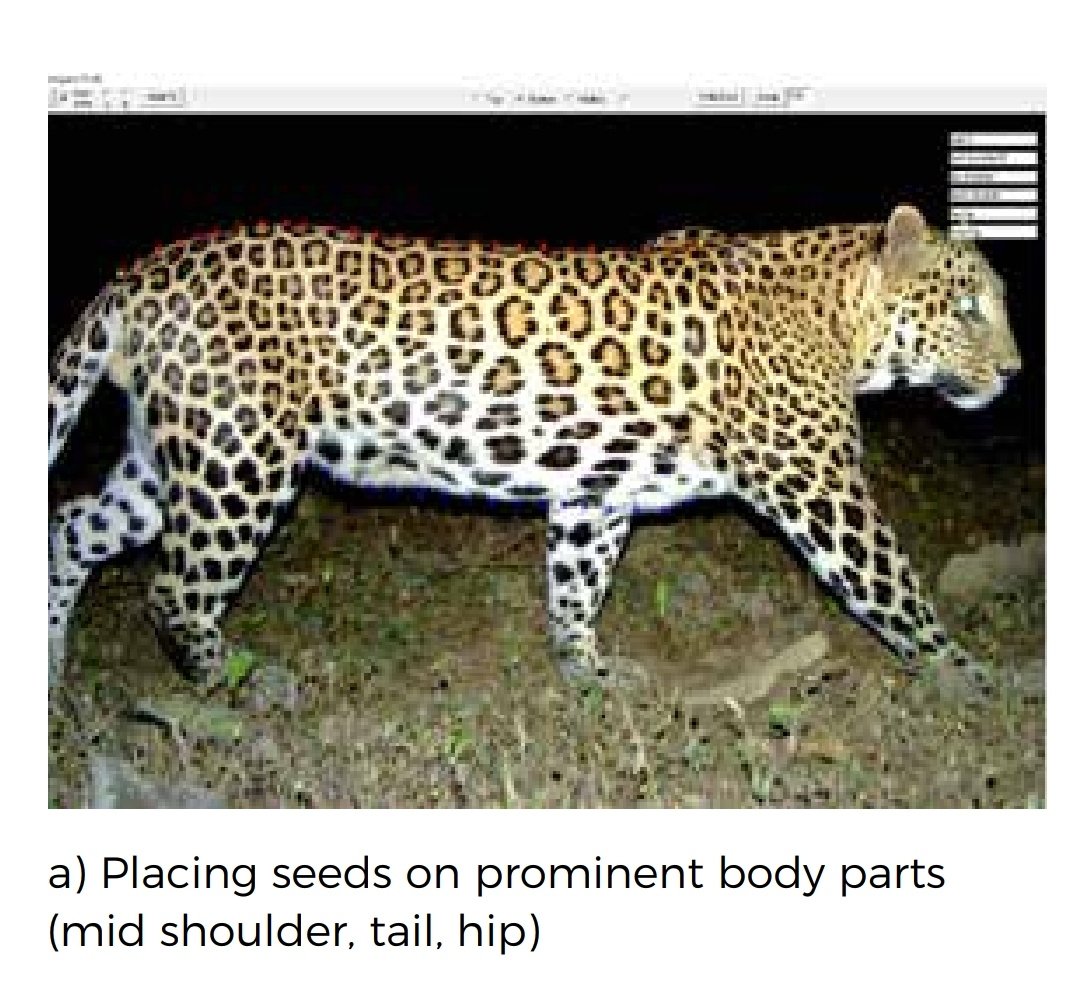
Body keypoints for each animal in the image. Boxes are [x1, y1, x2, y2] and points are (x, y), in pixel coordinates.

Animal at [48, 204, 1020, 688]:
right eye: (967, 305)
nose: (1013, 371)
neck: (842, 322)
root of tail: (139, 273)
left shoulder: (597, 489)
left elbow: (576, 581)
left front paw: (586, 673)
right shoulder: (824, 490)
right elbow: (898, 588)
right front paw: (977, 680)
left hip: (170, 460)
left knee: (69, 530)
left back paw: (52, 675)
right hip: (240, 458)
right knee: (173, 593)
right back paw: (239, 685)